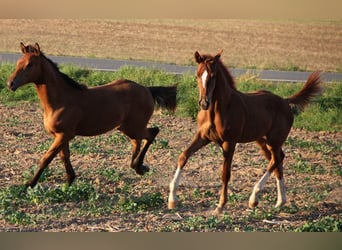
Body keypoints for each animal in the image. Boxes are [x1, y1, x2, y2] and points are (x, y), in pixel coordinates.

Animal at [7, 43, 178, 188]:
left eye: (30, 65)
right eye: (18, 62)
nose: (10, 83)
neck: (61, 101)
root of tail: (147, 89)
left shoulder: (63, 135)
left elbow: (46, 158)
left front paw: (29, 184)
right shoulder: (61, 135)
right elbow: (64, 157)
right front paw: (69, 181)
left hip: (134, 127)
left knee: (152, 133)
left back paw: (139, 166)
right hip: (126, 127)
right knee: (137, 141)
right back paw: (137, 166)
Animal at [169, 51, 324, 214]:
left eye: (213, 75)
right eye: (198, 75)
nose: (204, 103)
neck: (218, 110)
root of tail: (285, 101)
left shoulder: (229, 142)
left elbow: (225, 174)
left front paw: (220, 205)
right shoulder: (203, 136)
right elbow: (183, 156)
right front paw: (172, 200)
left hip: (274, 141)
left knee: (276, 159)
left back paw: (254, 198)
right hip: (262, 141)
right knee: (277, 160)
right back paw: (280, 202)